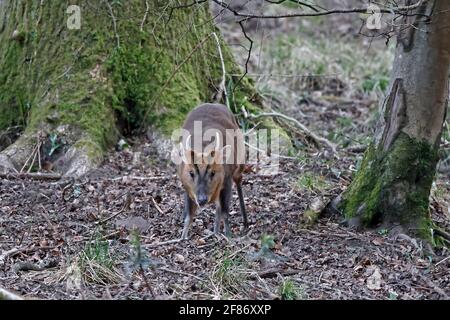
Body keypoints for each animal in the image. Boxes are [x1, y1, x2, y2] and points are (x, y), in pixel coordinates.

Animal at [177, 104, 248, 239]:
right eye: (191, 173)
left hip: (240, 159)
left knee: (239, 181)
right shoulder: (187, 187)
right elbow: (189, 216)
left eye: (213, 173)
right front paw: (182, 237)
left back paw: (245, 221)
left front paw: (229, 236)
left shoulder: (226, 179)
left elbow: (225, 211)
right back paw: (215, 232)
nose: (202, 200)